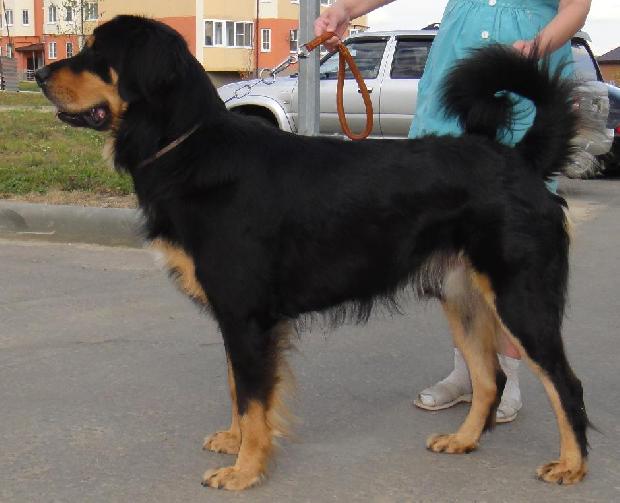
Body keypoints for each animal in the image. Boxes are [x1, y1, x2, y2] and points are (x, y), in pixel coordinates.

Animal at [37, 15, 589, 490]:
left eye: (96, 52)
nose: (39, 72)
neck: (190, 147)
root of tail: (519, 160)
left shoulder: (247, 316)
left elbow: (253, 398)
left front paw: (245, 470)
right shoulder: (237, 317)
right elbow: (238, 389)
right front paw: (236, 443)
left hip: (520, 299)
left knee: (564, 383)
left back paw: (572, 465)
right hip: (463, 295)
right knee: (489, 377)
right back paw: (465, 440)